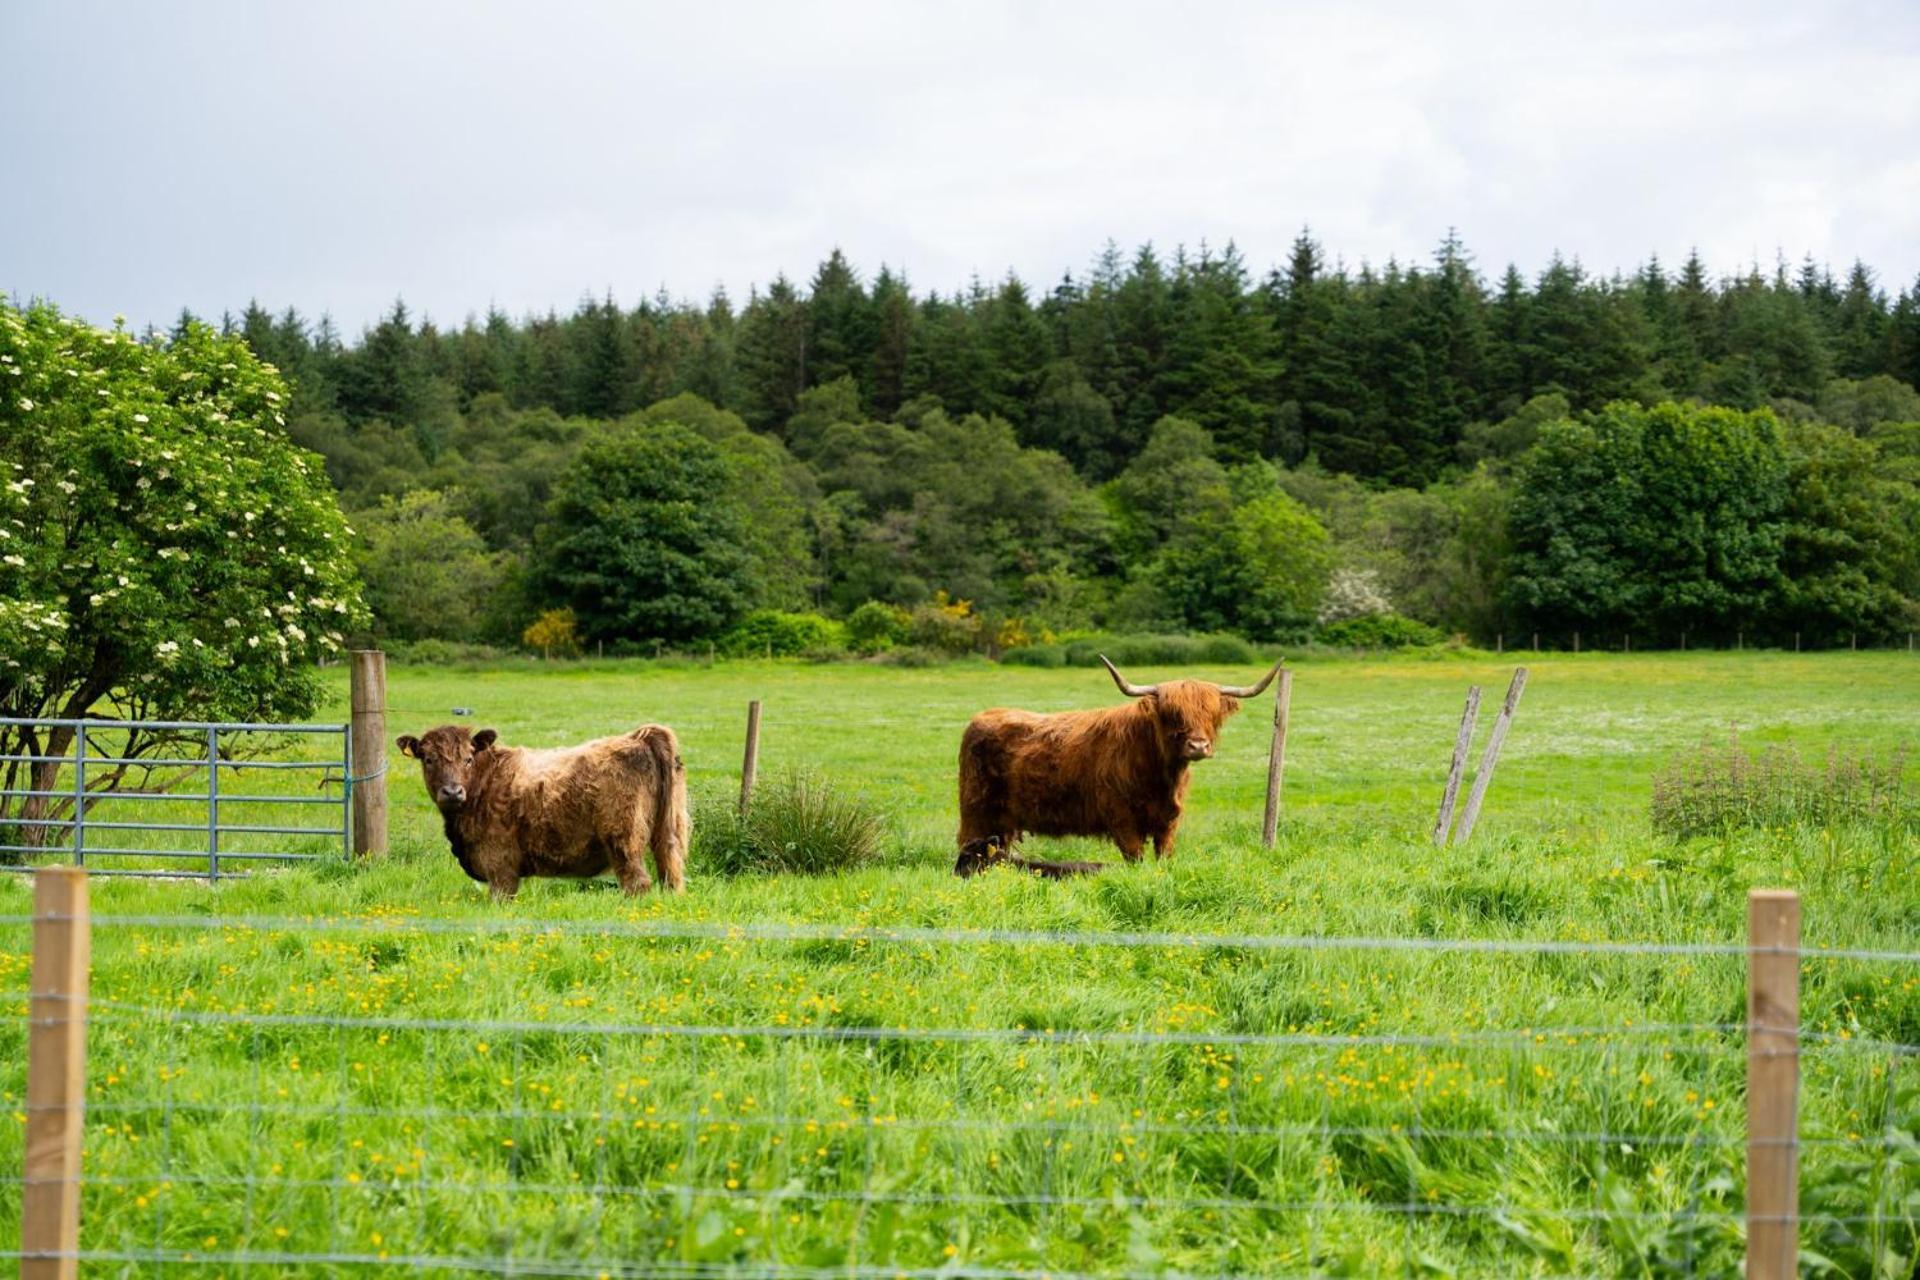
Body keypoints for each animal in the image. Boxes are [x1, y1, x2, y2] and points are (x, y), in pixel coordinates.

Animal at [397, 721, 691, 901]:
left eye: (468, 759)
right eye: (428, 759)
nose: (452, 792)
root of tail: (638, 736)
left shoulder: (500, 866)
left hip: (624, 844)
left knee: (637, 884)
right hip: (666, 839)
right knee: (671, 879)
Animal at [956, 660, 1282, 859]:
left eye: (1212, 715)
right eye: (1172, 714)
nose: (1198, 746)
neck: (1160, 775)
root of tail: (981, 717)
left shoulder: (1169, 824)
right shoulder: (1122, 820)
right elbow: (1135, 858)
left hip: (1003, 823)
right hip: (976, 811)